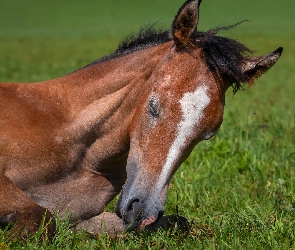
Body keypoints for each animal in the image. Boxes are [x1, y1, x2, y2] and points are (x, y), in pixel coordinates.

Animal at [0, 0, 284, 238]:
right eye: (153, 106)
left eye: (207, 135)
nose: (141, 212)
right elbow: (39, 217)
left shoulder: (78, 217)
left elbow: (176, 222)